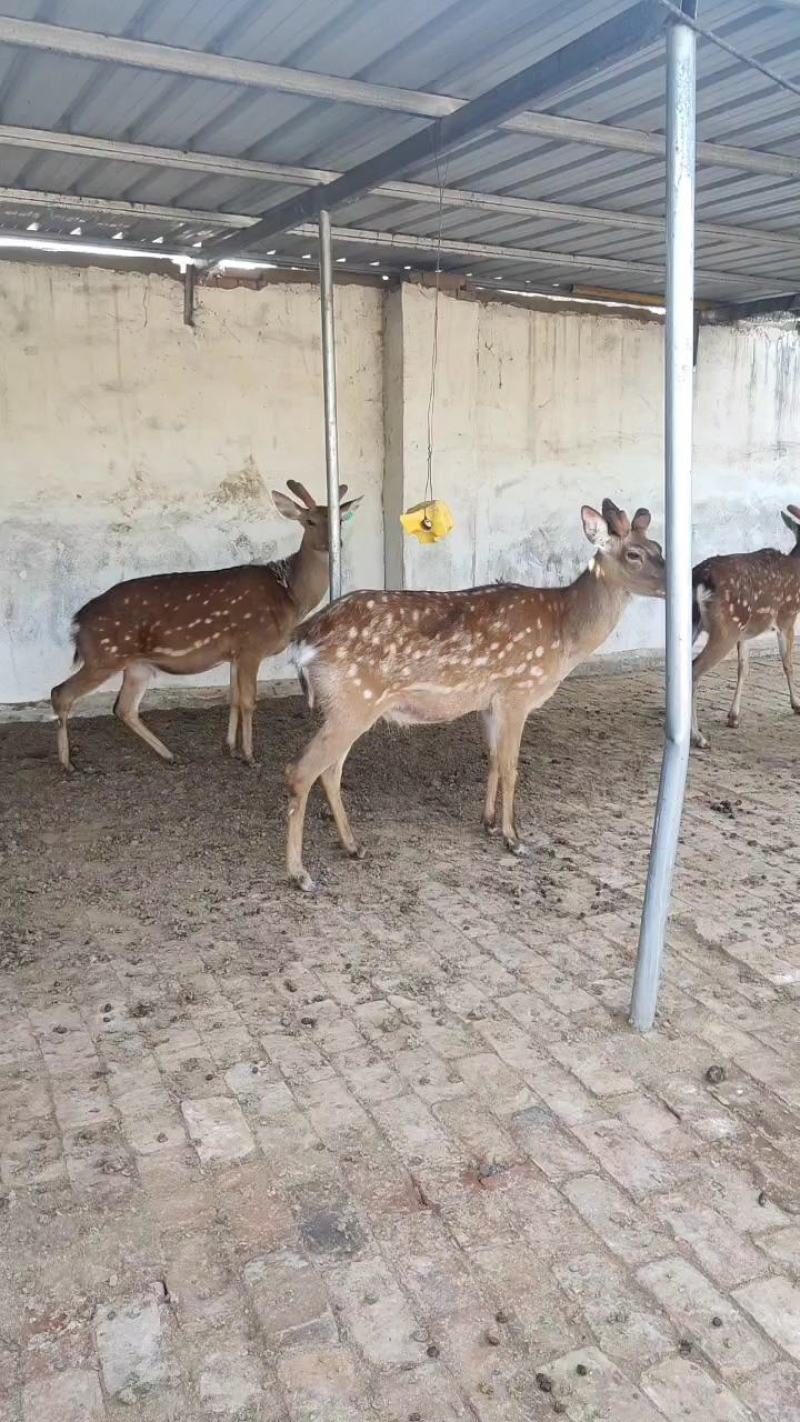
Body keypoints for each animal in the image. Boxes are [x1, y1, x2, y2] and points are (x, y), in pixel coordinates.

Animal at [50, 480, 362, 771]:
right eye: (310, 521)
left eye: (337, 522)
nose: (335, 545)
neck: (290, 596)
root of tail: (78, 621)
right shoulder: (252, 644)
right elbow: (249, 701)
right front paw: (250, 756)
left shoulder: (234, 652)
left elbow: (233, 698)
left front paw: (230, 748)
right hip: (104, 656)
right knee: (61, 693)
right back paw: (68, 763)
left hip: (137, 664)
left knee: (124, 708)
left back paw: (171, 755)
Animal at [284, 498, 665, 891]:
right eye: (635, 554)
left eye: (660, 547)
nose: (671, 586)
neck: (564, 637)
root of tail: (302, 641)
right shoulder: (518, 691)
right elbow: (512, 767)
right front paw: (514, 838)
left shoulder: (489, 702)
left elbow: (494, 759)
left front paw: (488, 822)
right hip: (353, 701)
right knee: (300, 771)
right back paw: (301, 874)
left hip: (348, 706)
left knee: (330, 771)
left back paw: (353, 846)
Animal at [691, 503, 800, 749]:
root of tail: (701, 578)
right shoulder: (787, 617)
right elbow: (788, 664)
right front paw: (797, 704)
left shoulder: (744, 633)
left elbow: (743, 668)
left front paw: (733, 717)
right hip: (725, 629)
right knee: (693, 669)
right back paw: (698, 738)